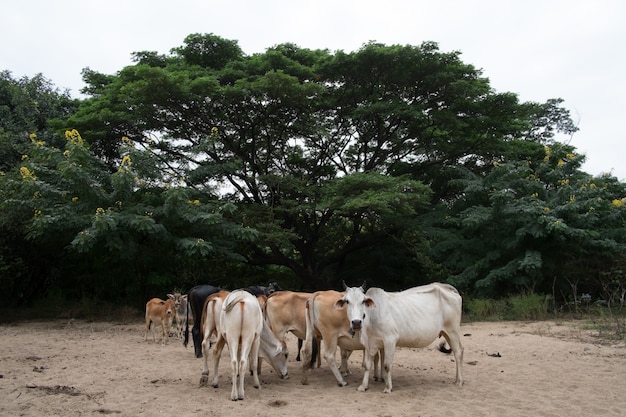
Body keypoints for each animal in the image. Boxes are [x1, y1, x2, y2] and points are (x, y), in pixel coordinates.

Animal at [336, 282, 464, 392]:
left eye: (363, 301)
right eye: (347, 301)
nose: (356, 322)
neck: (371, 317)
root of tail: (446, 287)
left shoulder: (390, 340)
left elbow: (387, 365)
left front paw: (388, 387)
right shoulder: (369, 343)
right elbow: (367, 365)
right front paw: (363, 386)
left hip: (453, 331)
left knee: (458, 352)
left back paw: (459, 381)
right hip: (447, 332)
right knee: (459, 350)